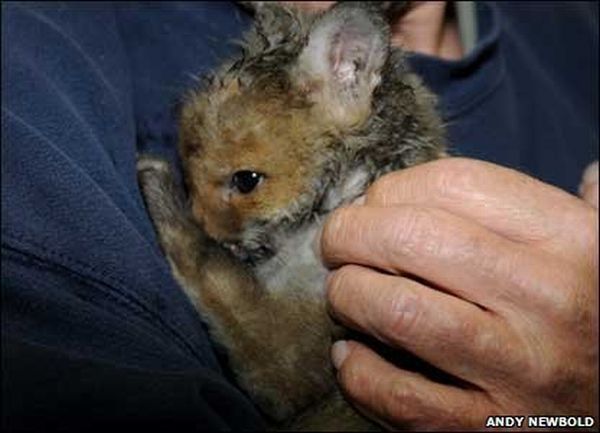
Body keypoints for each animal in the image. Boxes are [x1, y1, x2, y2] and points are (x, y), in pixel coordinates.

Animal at [136, 2, 446, 428]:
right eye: (191, 177)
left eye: (246, 181)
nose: (214, 233)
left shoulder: (292, 359)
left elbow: (211, 269)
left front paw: (158, 188)